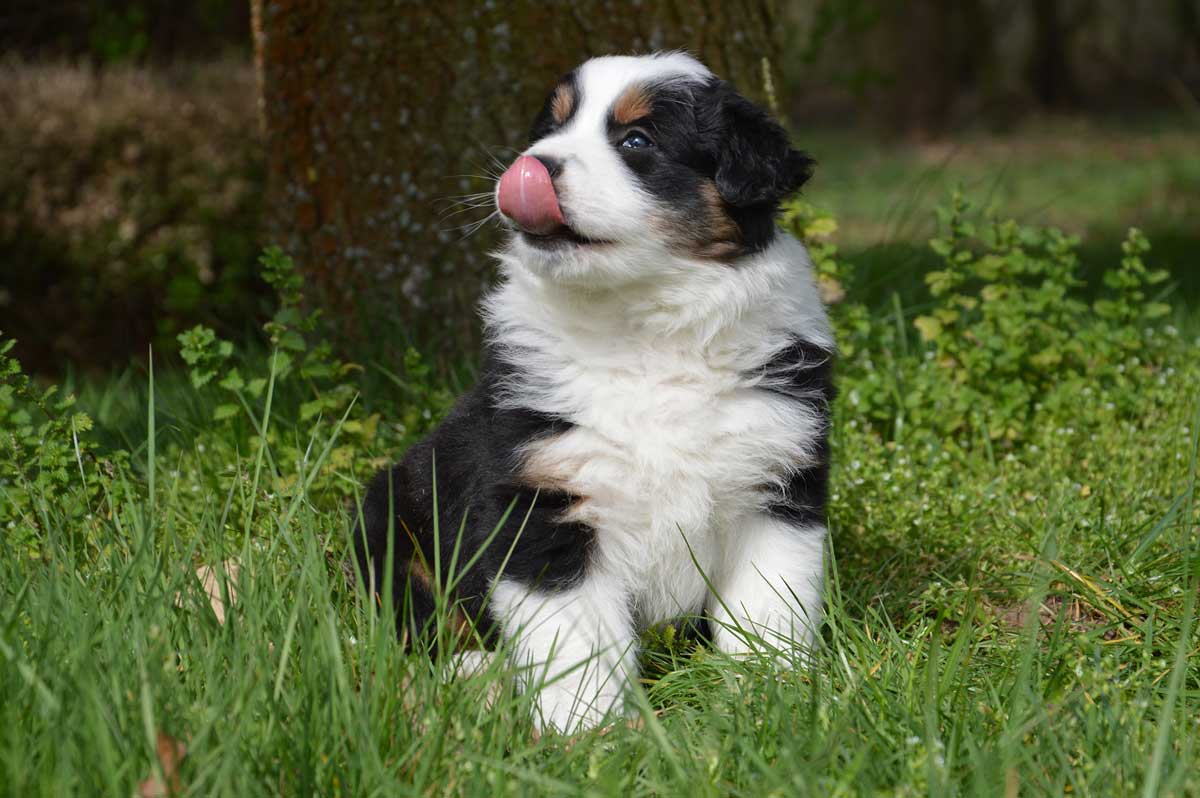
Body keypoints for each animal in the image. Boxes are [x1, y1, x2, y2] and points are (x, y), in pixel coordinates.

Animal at [350, 51, 830, 734]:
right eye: (549, 129)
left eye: (637, 141)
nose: (532, 167)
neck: (642, 329)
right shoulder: (542, 502)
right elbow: (574, 642)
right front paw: (589, 734)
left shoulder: (776, 484)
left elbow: (767, 609)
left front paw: (771, 704)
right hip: (393, 513)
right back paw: (472, 674)